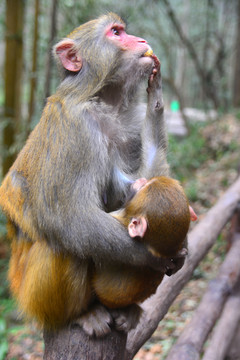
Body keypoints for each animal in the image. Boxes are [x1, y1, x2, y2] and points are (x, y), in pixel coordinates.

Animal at [0, 13, 187, 334]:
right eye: (116, 33)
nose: (141, 40)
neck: (103, 99)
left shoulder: (129, 124)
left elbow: (143, 184)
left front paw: (156, 97)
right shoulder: (76, 130)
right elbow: (69, 217)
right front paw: (152, 257)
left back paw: (128, 310)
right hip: (34, 297)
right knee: (63, 243)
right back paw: (79, 315)